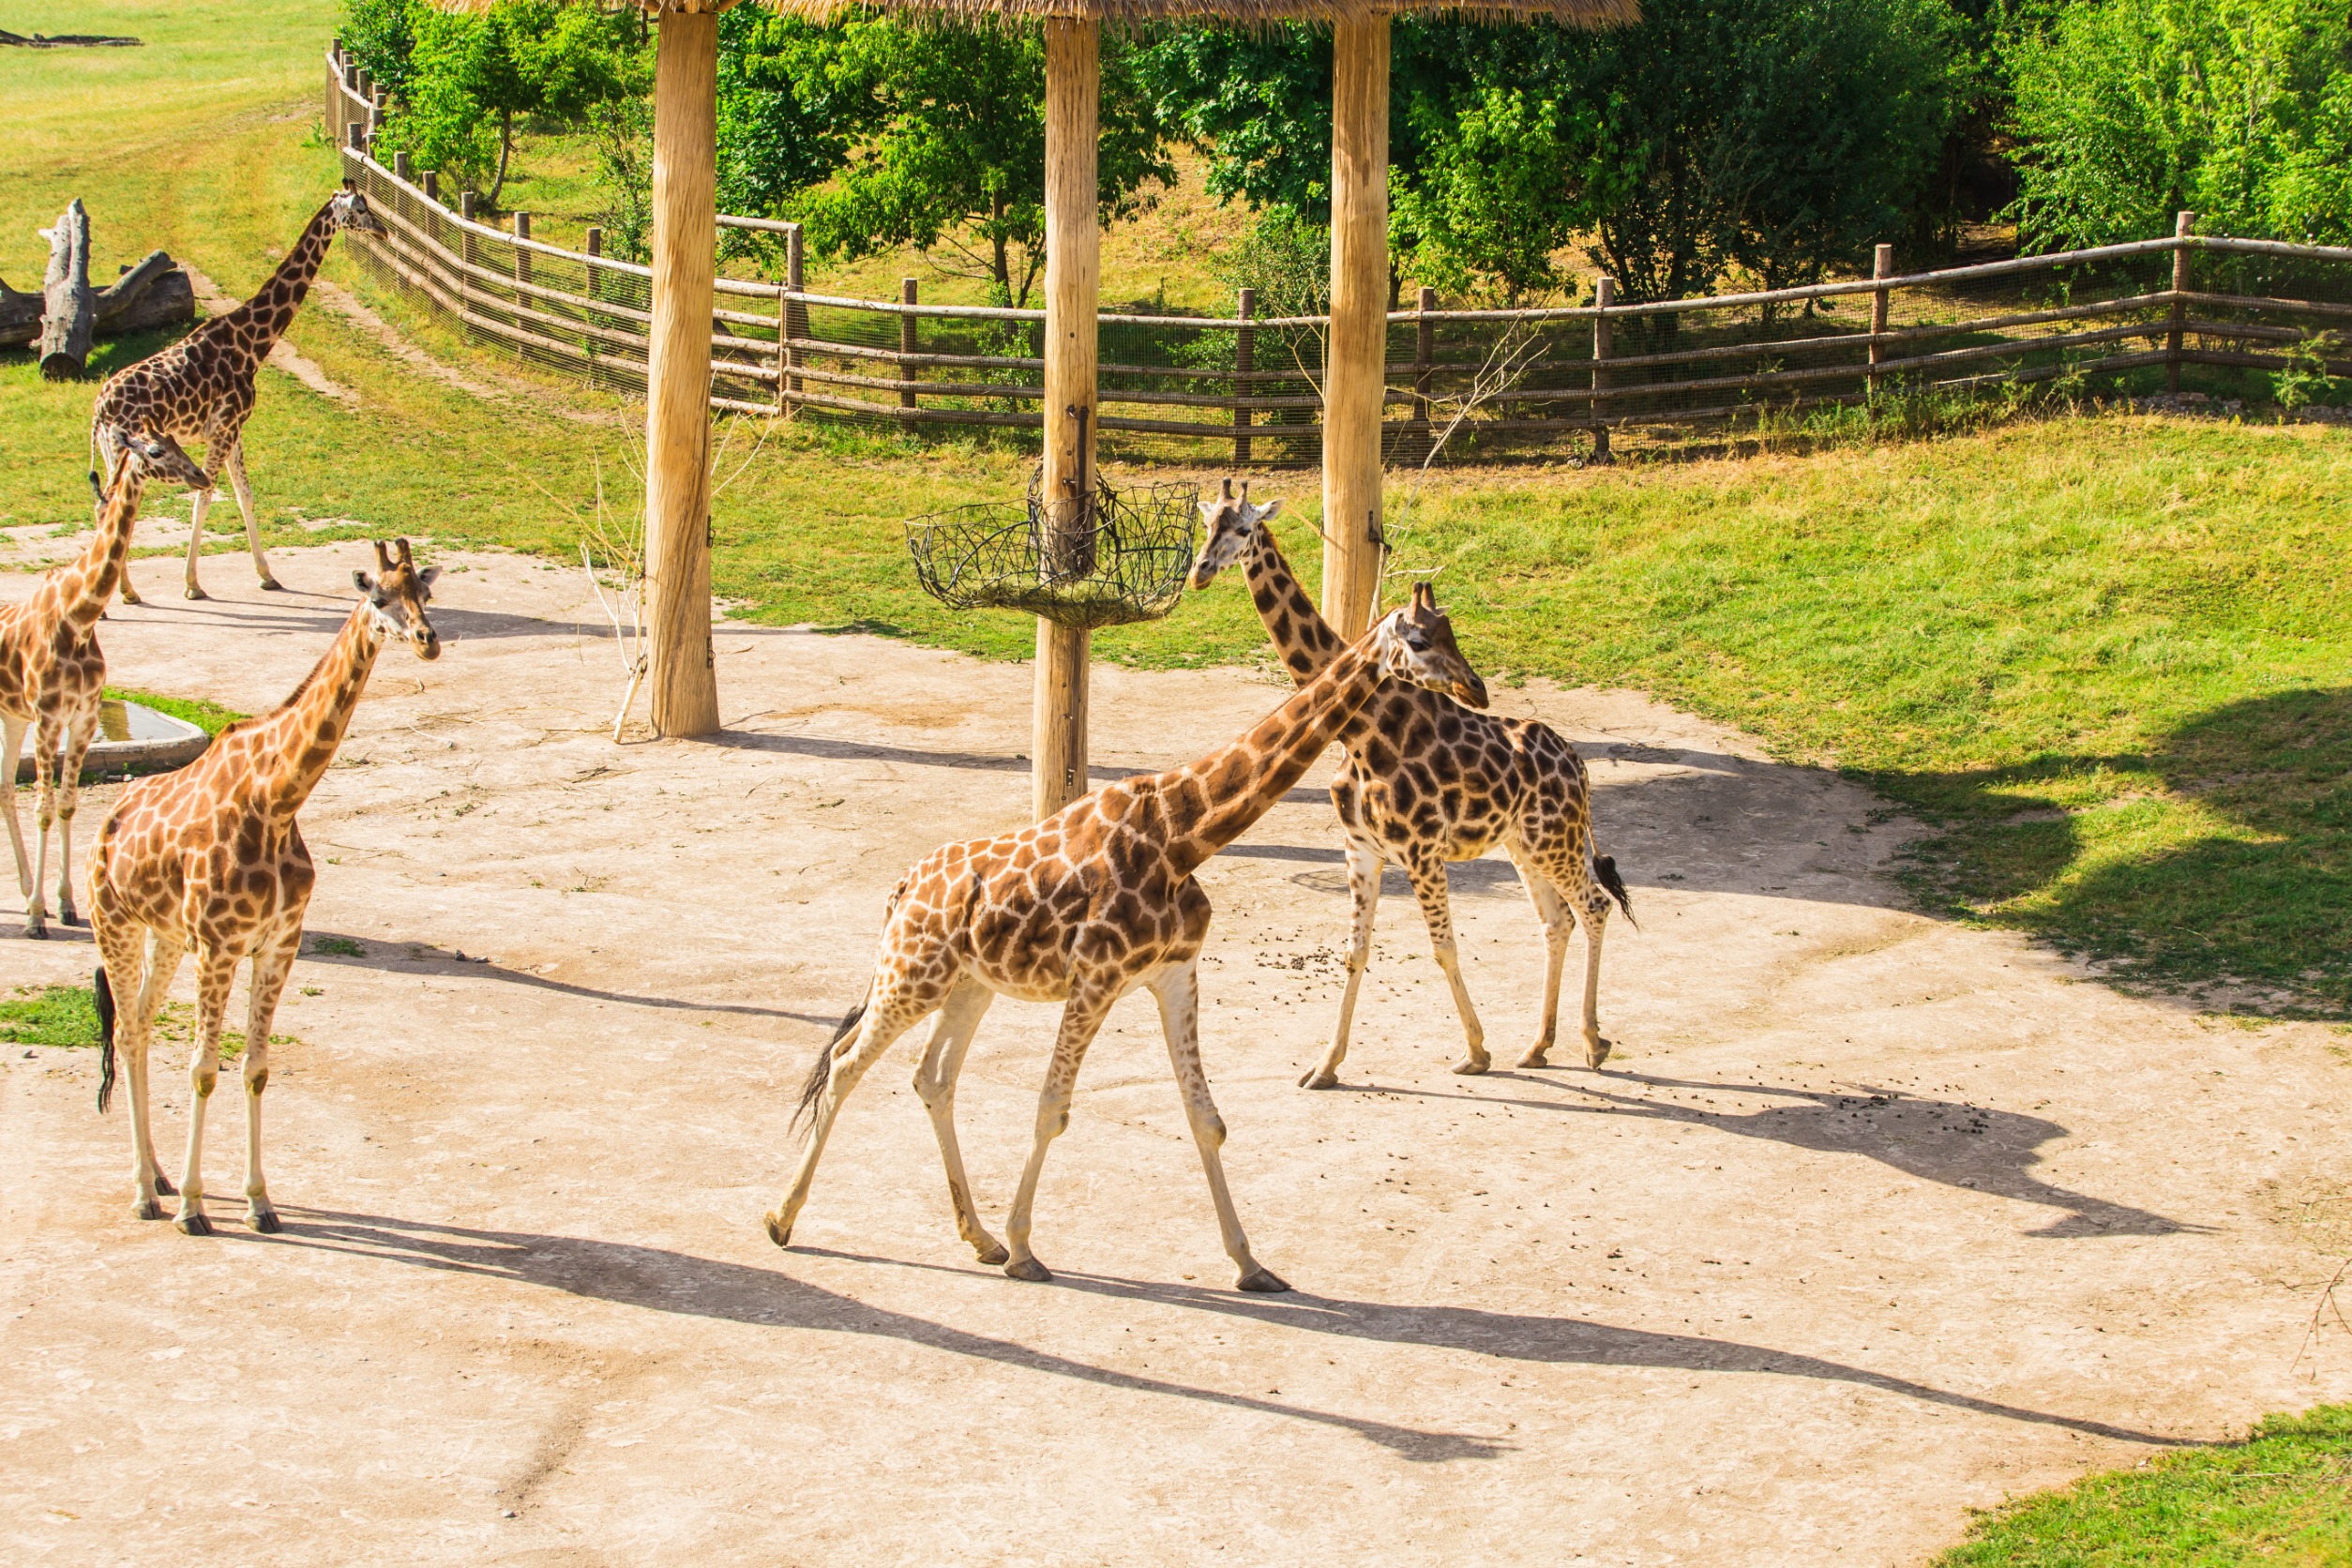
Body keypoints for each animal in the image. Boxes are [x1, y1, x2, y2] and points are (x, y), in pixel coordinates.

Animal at [2, 430, 211, 940]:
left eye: (178, 442)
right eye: (156, 451)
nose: (201, 475)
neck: (77, 615)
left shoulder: (83, 716)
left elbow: (66, 805)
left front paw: (63, 905)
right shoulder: (48, 716)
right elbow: (43, 807)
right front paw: (35, 917)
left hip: (12, 715)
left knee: (3, 786)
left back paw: (24, 888)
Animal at [88, 181, 385, 606]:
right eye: (360, 209)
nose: (384, 231)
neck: (252, 343)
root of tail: (98, 411)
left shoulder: (233, 430)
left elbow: (245, 494)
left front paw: (267, 575)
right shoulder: (224, 427)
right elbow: (204, 498)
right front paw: (192, 584)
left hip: (114, 452)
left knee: (104, 504)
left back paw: (119, 590)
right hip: (127, 449)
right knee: (111, 504)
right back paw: (125, 592)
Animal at [90, 540, 442, 1241]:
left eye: (426, 593)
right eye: (377, 596)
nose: (428, 641)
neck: (278, 800)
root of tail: (104, 827)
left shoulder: (279, 944)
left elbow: (255, 1070)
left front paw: (258, 1203)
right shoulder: (221, 946)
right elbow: (203, 1071)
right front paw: (194, 1209)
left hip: (164, 936)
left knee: (139, 1024)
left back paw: (159, 1177)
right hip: (114, 924)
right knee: (126, 1033)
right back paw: (146, 1193)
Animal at [771, 582, 1486, 1297]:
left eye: (1453, 630)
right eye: (1418, 640)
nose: (1476, 688)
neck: (1183, 836)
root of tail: (900, 889)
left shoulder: (1174, 972)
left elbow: (1206, 1118)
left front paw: (1251, 1265)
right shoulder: (1096, 978)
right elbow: (1053, 1108)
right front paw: (1026, 1249)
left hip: (969, 984)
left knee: (933, 1079)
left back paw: (977, 1238)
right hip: (910, 976)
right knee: (846, 1065)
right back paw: (783, 1219)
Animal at [1195, 484, 1636, 1086]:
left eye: (1243, 529)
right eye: (1207, 526)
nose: (1199, 572)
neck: (1362, 732)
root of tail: (1581, 768)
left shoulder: (1422, 849)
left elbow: (1443, 947)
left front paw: (1475, 1051)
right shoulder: (1360, 848)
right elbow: (1356, 951)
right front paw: (1325, 1065)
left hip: (1555, 841)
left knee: (1593, 906)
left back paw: (1592, 1042)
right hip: (1525, 844)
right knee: (1556, 920)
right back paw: (1538, 1045)